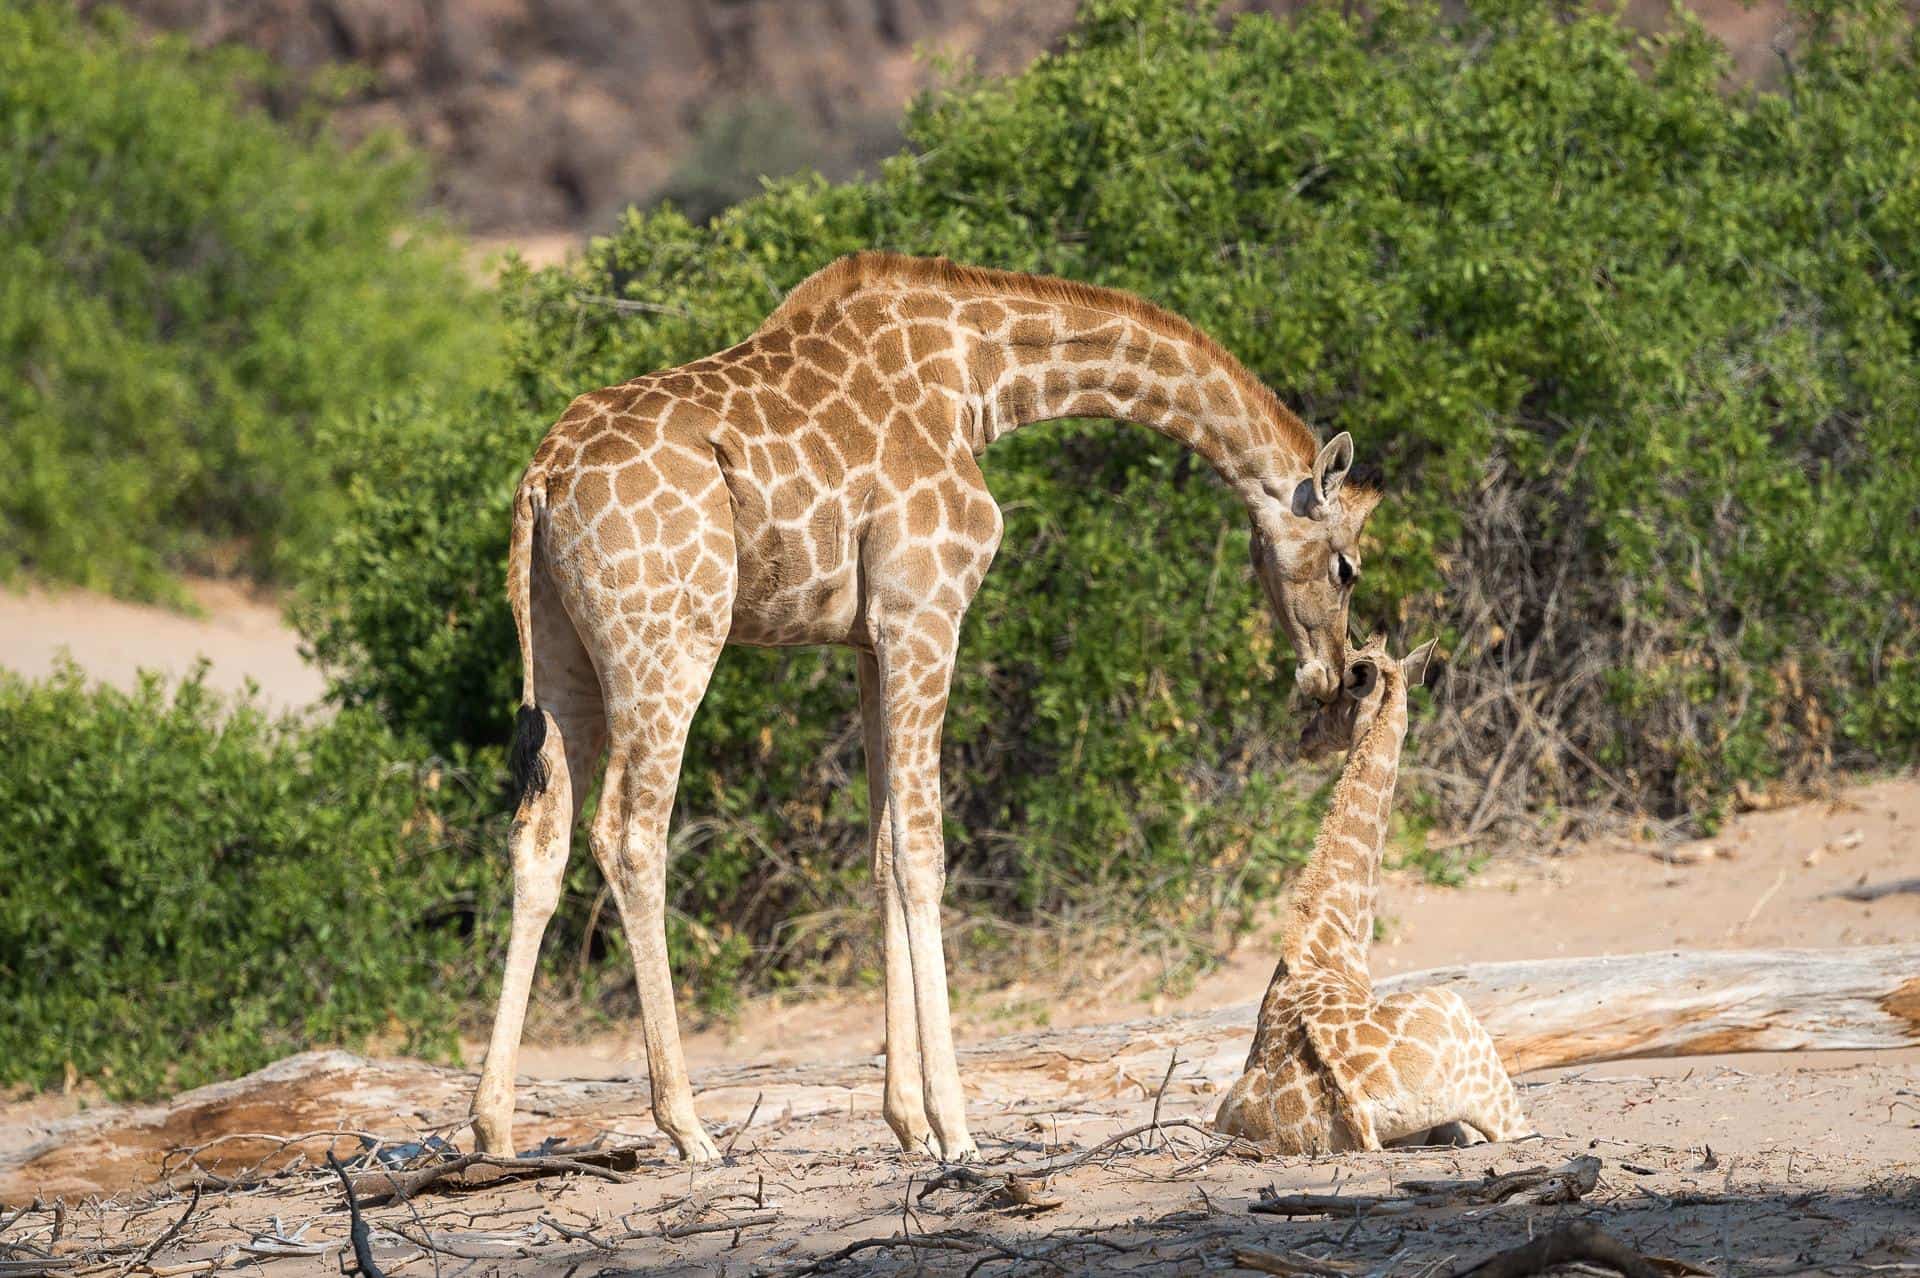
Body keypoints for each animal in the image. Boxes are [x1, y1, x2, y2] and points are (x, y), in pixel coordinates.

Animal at [470, 252, 1382, 1164]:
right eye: (1348, 567)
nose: (1334, 676)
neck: (975, 378)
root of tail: (541, 479)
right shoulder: (926, 609)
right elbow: (922, 852)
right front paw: (955, 1127)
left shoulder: (870, 638)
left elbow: (881, 851)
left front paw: (906, 1121)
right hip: (669, 642)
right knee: (629, 832)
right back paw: (687, 1126)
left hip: (560, 650)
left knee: (539, 833)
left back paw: (494, 1128)